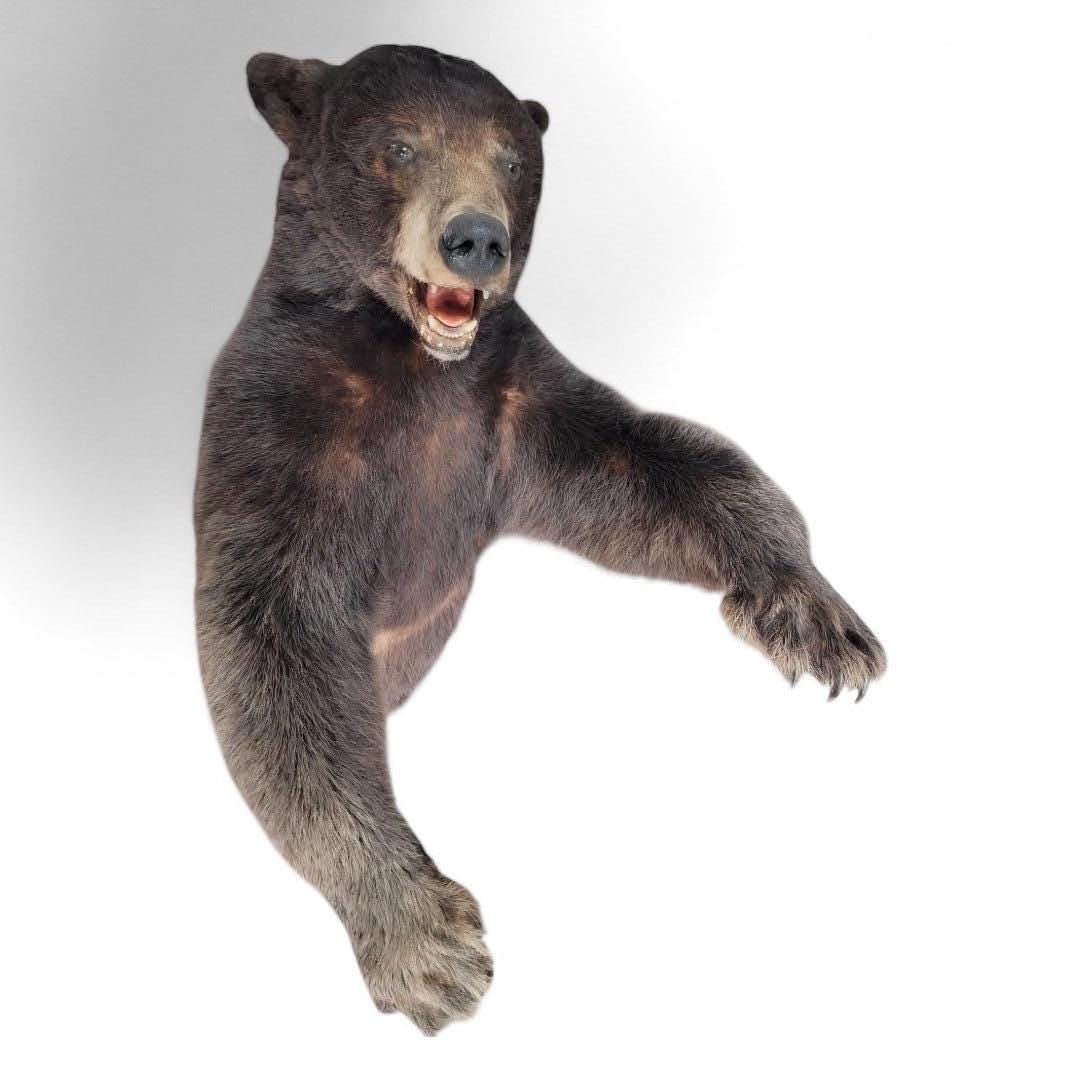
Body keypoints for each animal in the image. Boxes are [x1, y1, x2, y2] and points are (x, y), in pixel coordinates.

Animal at [195, 44, 886, 1034]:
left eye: (514, 159)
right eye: (399, 145)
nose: (476, 238)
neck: (408, 357)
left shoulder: (509, 407)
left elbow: (659, 463)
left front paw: (816, 616)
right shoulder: (280, 430)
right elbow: (276, 646)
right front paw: (430, 946)